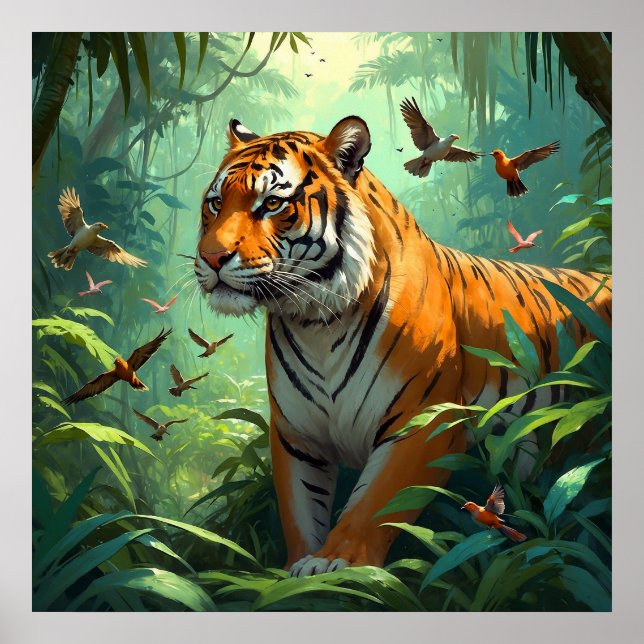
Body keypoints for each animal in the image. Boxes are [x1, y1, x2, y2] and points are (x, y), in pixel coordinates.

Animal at [194, 116, 612, 577]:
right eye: (216, 203)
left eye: (270, 204)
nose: (211, 258)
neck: (316, 321)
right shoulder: (296, 434)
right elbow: (300, 508)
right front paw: (296, 566)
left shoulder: (425, 420)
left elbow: (374, 505)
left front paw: (337, 561)